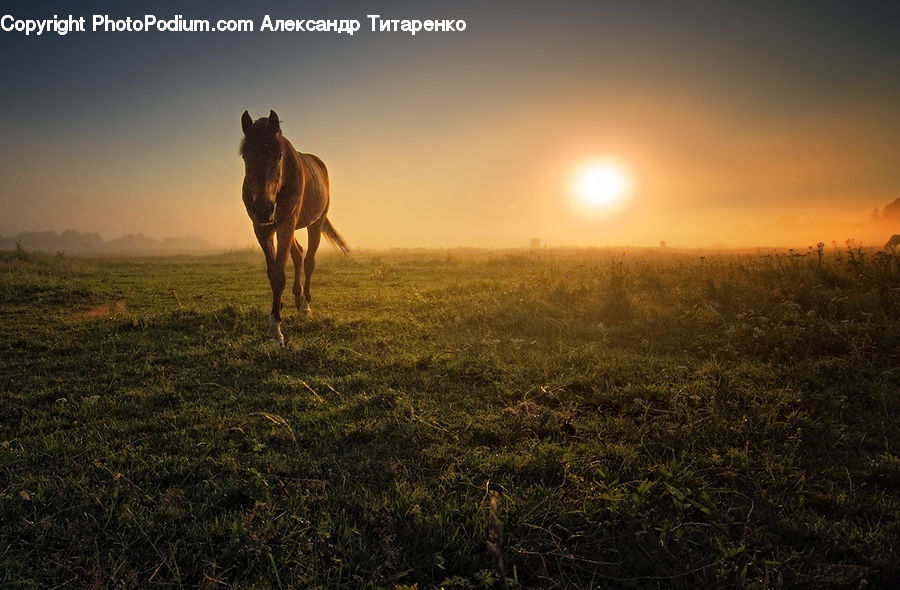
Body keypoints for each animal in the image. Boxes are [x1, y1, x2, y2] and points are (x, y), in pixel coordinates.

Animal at [240, 110, 349, 345]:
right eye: (246, 156)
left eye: (279, 157)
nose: (262, 208)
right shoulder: (262, 229)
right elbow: (273, 271)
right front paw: (277, 312)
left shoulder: (285, 224)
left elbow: (280, 274)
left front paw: (276, 328)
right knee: (298, 254)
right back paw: (297, 298)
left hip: (315, 223)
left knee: (308, 261)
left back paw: (305, 304)